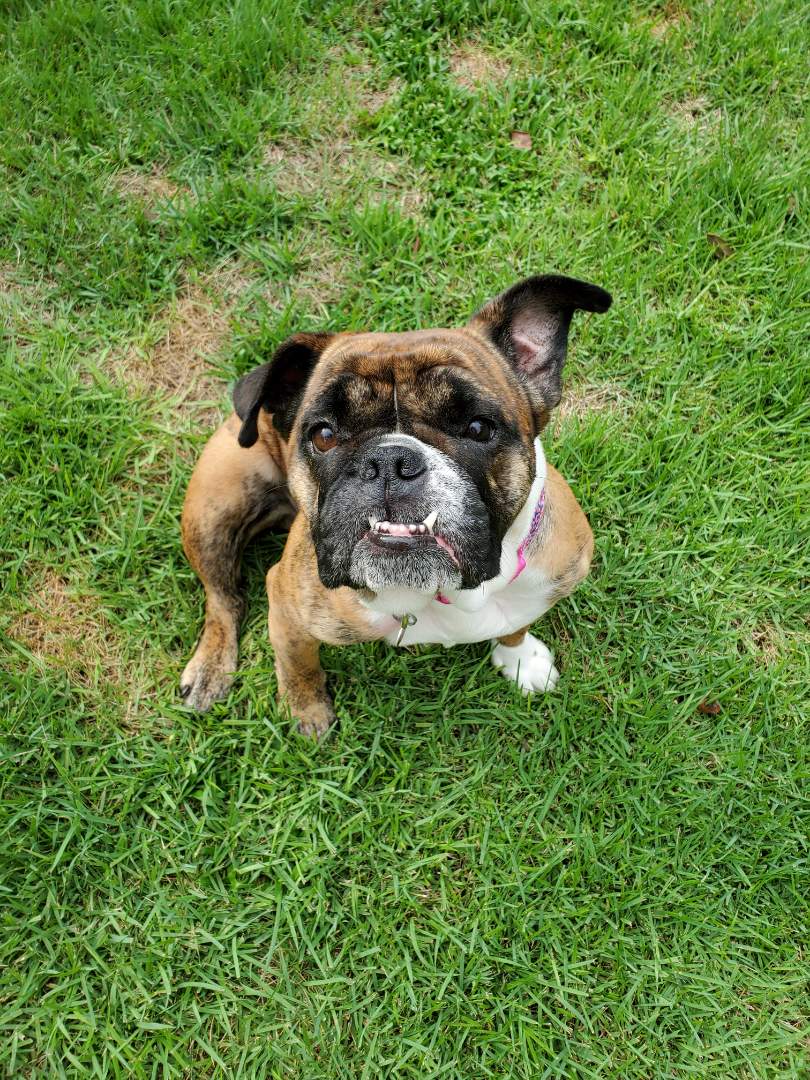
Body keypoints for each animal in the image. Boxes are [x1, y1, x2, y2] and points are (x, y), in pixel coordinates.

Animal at [179, 274, 609, 738]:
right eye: (324, 435)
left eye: (478, 427)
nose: (389, 461)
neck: (447, 595)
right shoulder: (288, 610)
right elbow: (297, 664)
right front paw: (308, 712)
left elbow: (517, 624)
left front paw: (519, 659)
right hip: (213, 513)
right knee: (224, 597)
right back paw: (210, 670)